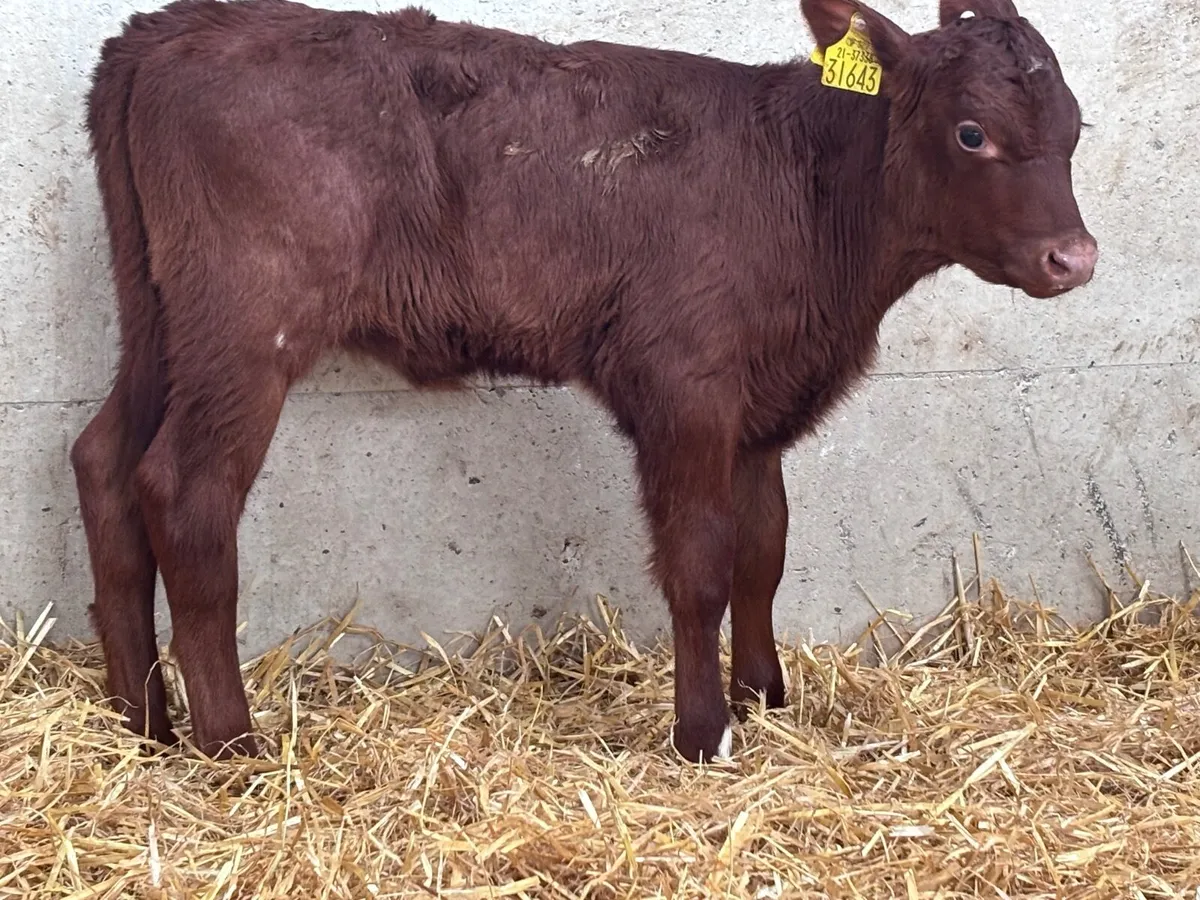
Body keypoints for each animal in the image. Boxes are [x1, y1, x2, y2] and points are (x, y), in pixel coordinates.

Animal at [71, 0, 1096, 764]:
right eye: (971, 133)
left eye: (1076, 130)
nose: (1074, 257)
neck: (807, 191)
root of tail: (168, 28)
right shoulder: (685, 384)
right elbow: (701, 562)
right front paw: (703, 733)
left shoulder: (758, 406)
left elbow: (764, 549)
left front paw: (765, 698)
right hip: (248, 326)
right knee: (186, 491)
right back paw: (229, 744)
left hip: (161, 320)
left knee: (103, 460)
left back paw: (144, 723)